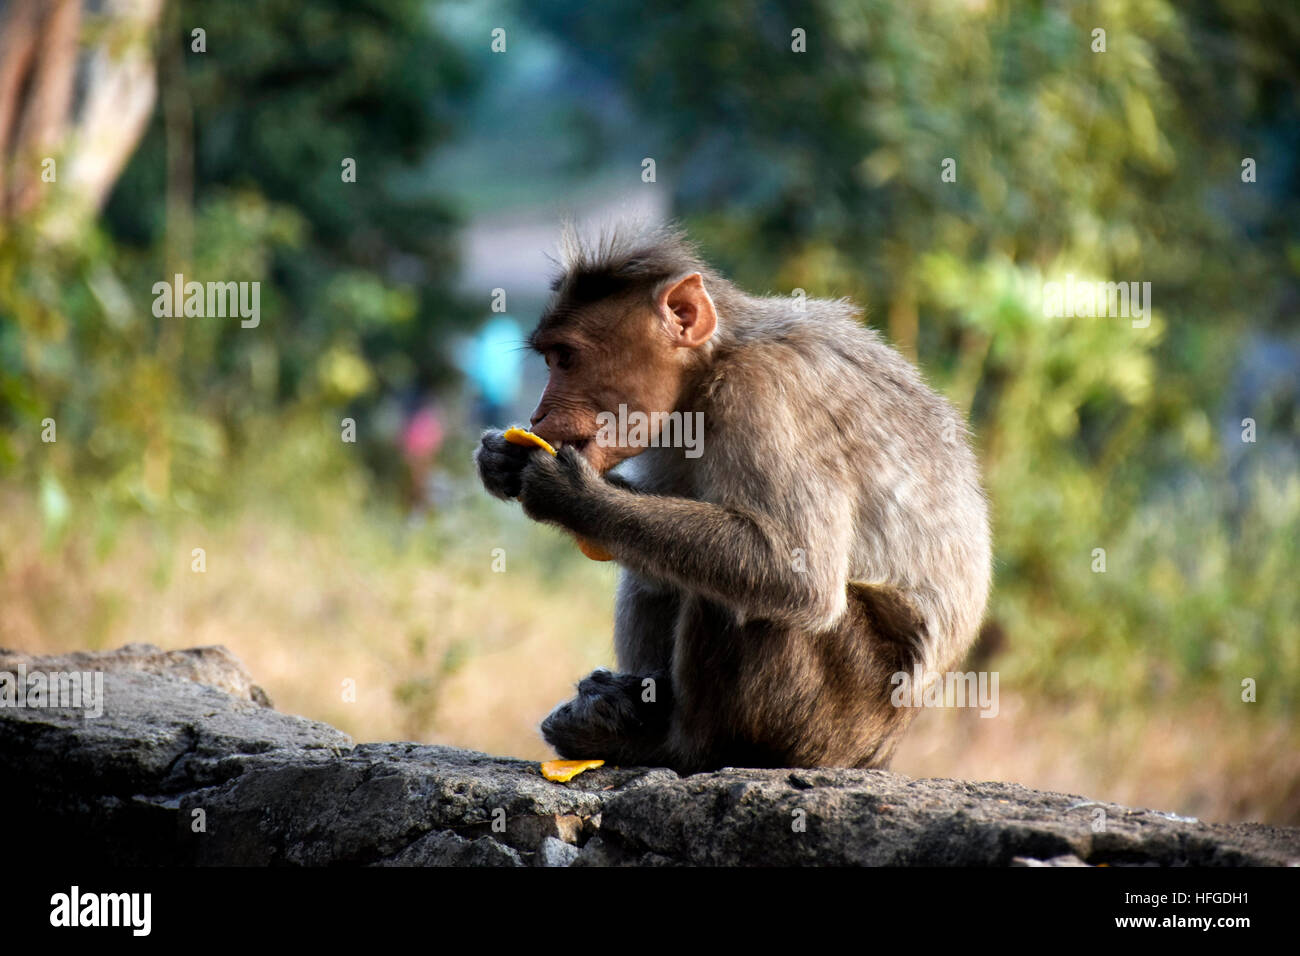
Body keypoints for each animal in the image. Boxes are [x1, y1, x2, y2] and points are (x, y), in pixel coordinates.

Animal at [474, 223, 991, 774]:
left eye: (566, 358)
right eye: (549, 360)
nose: (537, 416)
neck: (709, 370)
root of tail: (882, 748)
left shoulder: (765, 395)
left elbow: (795, 570)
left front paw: (568, 493)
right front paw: (502, 459)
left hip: (839, 714)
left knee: (744, 592)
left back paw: (676, 748)